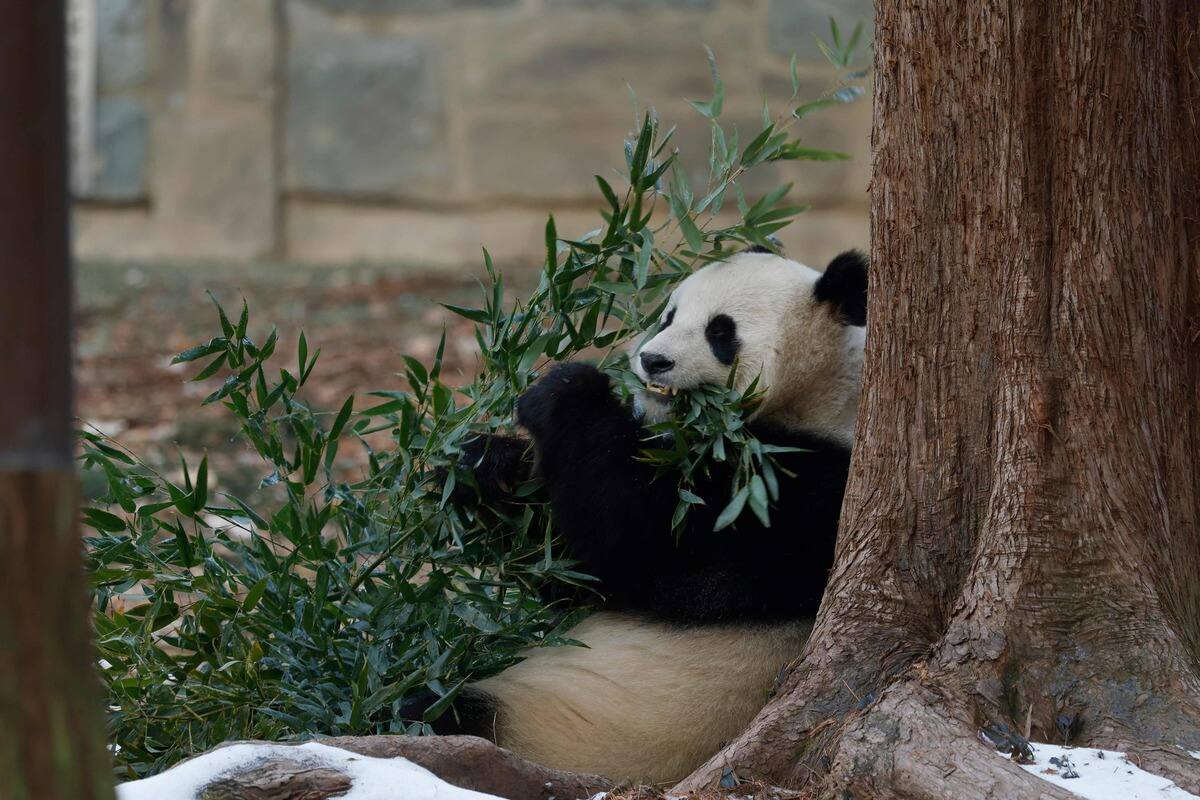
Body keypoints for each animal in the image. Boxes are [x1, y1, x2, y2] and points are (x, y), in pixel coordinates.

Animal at [418, 247, 868, 785]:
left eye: (721, 332)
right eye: (669, 316)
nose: (653, 359)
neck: (821, 397)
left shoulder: (787, 492)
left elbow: (628, 547)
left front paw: (567, 388)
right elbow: (570, 571)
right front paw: (485, 465)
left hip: (572, 733)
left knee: (442, 712)